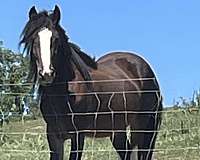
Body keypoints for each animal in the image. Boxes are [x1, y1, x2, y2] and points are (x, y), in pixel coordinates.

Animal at [19, 5, 162, 160]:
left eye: (55, 39)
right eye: (34, 39)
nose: (46, 74)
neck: (63, 94)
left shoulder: (78, 135)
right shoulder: (53, 135)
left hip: (143, 126)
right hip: (118, 131)